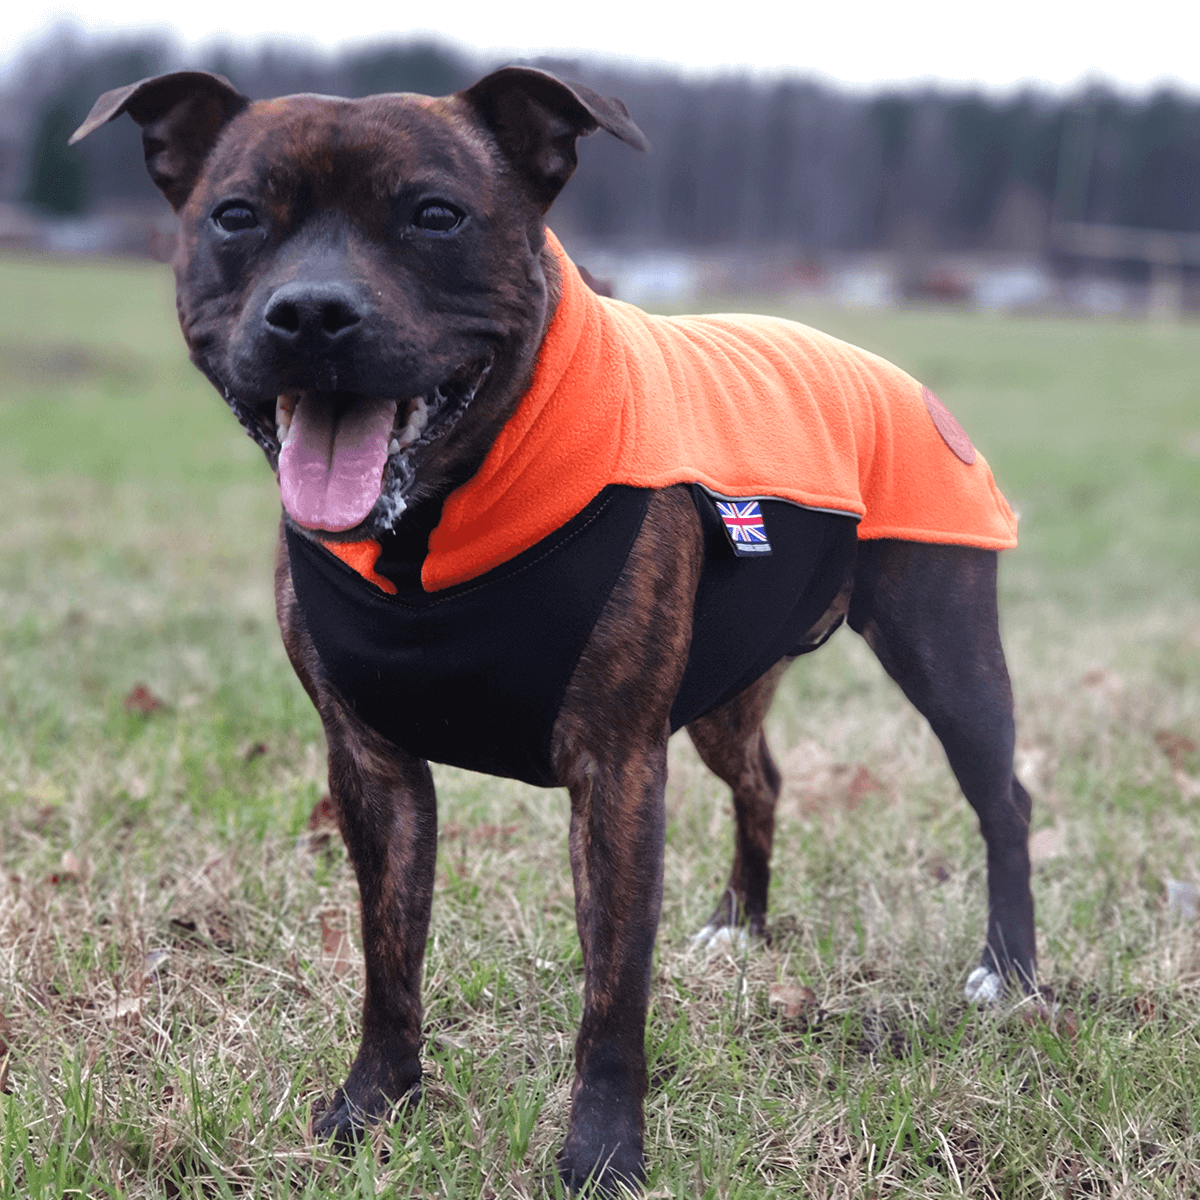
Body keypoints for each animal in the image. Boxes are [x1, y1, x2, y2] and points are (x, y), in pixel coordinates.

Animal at [72, 68, 1032, 1190]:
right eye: (235, 216)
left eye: (435, 214)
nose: (311, 313)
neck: (431, 523)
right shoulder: (370, 762)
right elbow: (388, 954)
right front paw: (372, 1107)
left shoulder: (617, 770)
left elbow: (613, 989)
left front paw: (605, 1149)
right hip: (730, 691)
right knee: (762, 779)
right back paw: (740, 927)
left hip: (947, 654)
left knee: (1003, 799)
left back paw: (1008, 974)